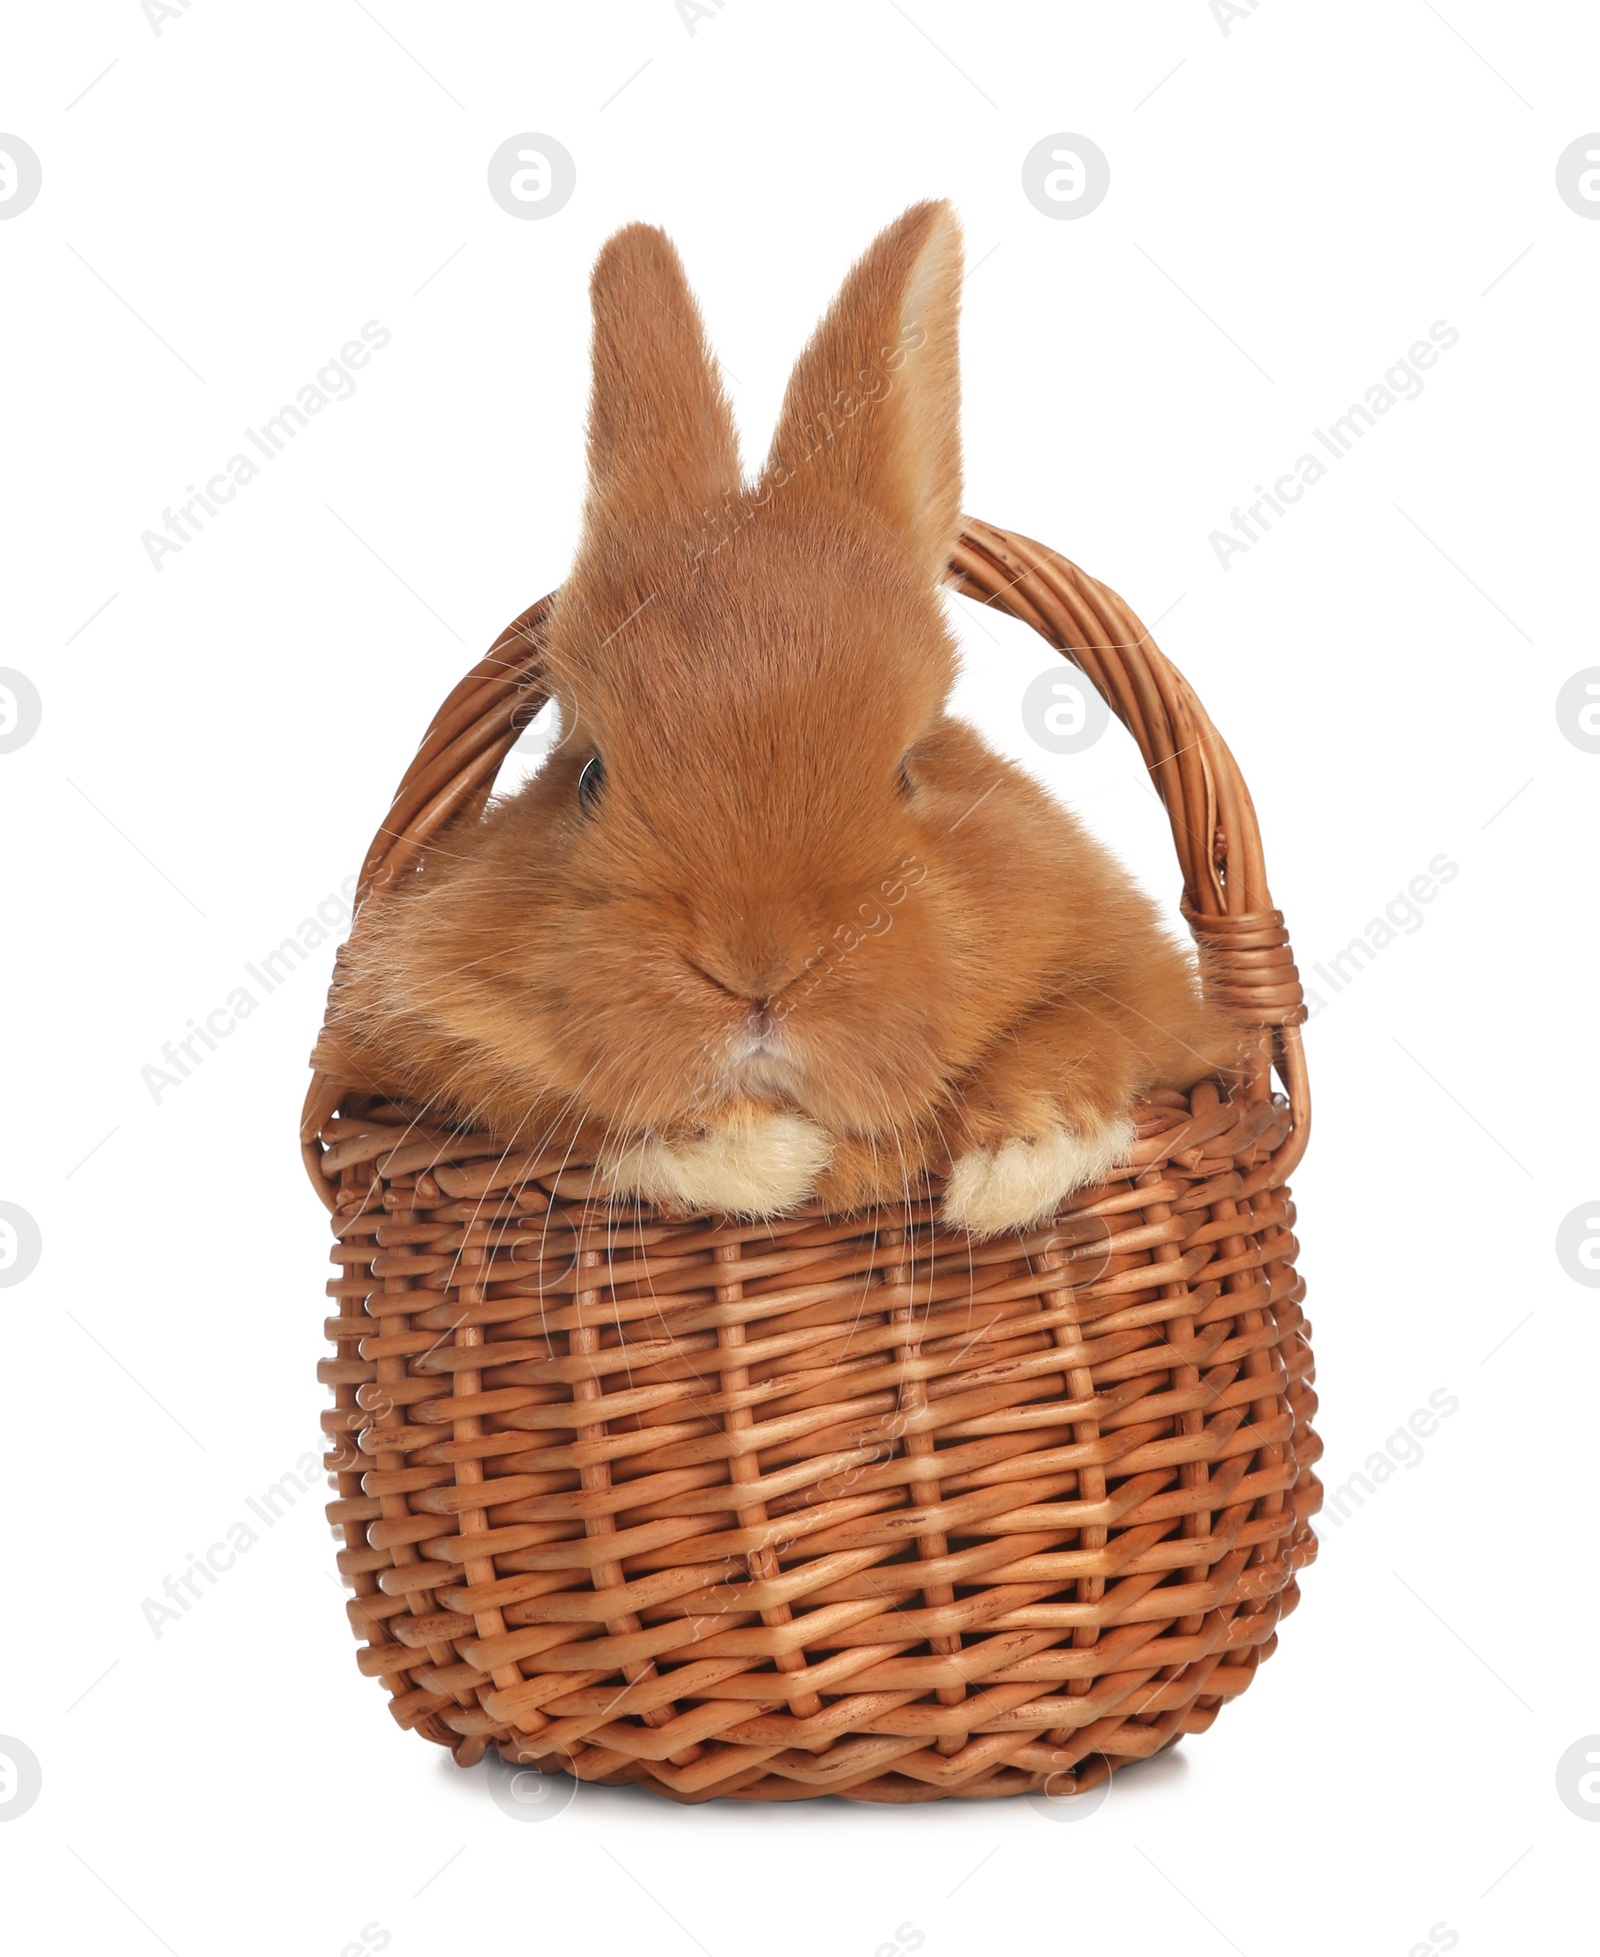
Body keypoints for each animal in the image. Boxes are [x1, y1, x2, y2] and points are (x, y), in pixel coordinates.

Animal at [324, 202, 1244, 1236]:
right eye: (590, 777)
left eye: (908, 770)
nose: (758, 970)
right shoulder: (390, 1041)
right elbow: (544, 1100)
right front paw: (761, 1153)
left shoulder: (1154, 993)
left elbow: (1092, 1026)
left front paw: (1017, 1160)